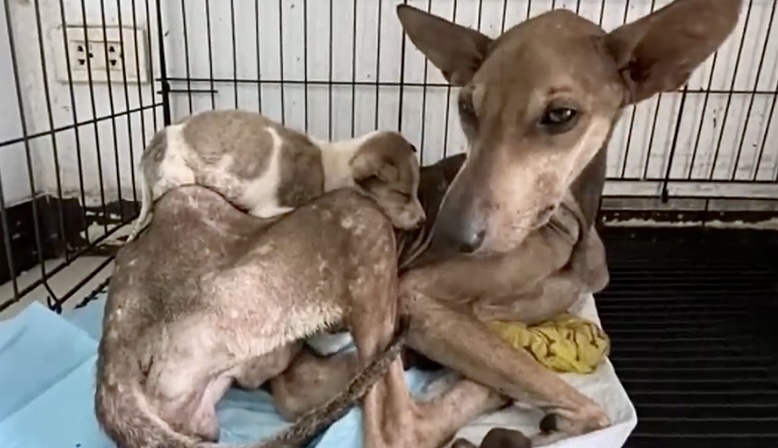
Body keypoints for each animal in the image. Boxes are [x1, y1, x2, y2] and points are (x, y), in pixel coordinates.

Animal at [126, 109, 424, 242]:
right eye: (401, 194)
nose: (423, 222)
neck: (331, 164)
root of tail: (154, 143)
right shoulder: (270, 210)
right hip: (179, 179)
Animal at [270, 0, 744, 444]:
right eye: (466, 106)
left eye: (561, 115)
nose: (448, 234)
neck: (567, 227)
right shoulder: (415, 295)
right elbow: (587, 408)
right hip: (366, 230)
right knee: (392, 425)